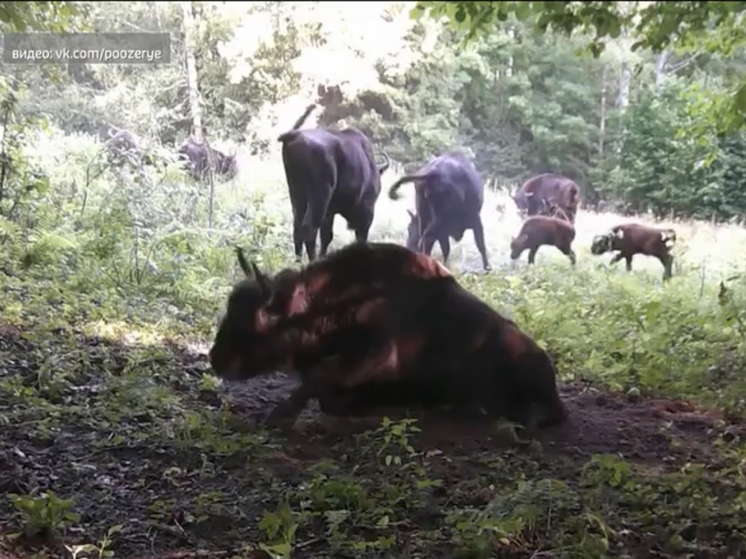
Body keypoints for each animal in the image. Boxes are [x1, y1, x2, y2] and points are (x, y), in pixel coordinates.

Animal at [274, 103, 390, 264]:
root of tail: (294, 135)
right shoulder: (366, 212)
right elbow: (358, 237)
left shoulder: (330, 212)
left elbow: (326, 236)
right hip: (319, 197)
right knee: (309, 228)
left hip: (297, 193)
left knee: (297, 228)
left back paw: (298, 262)